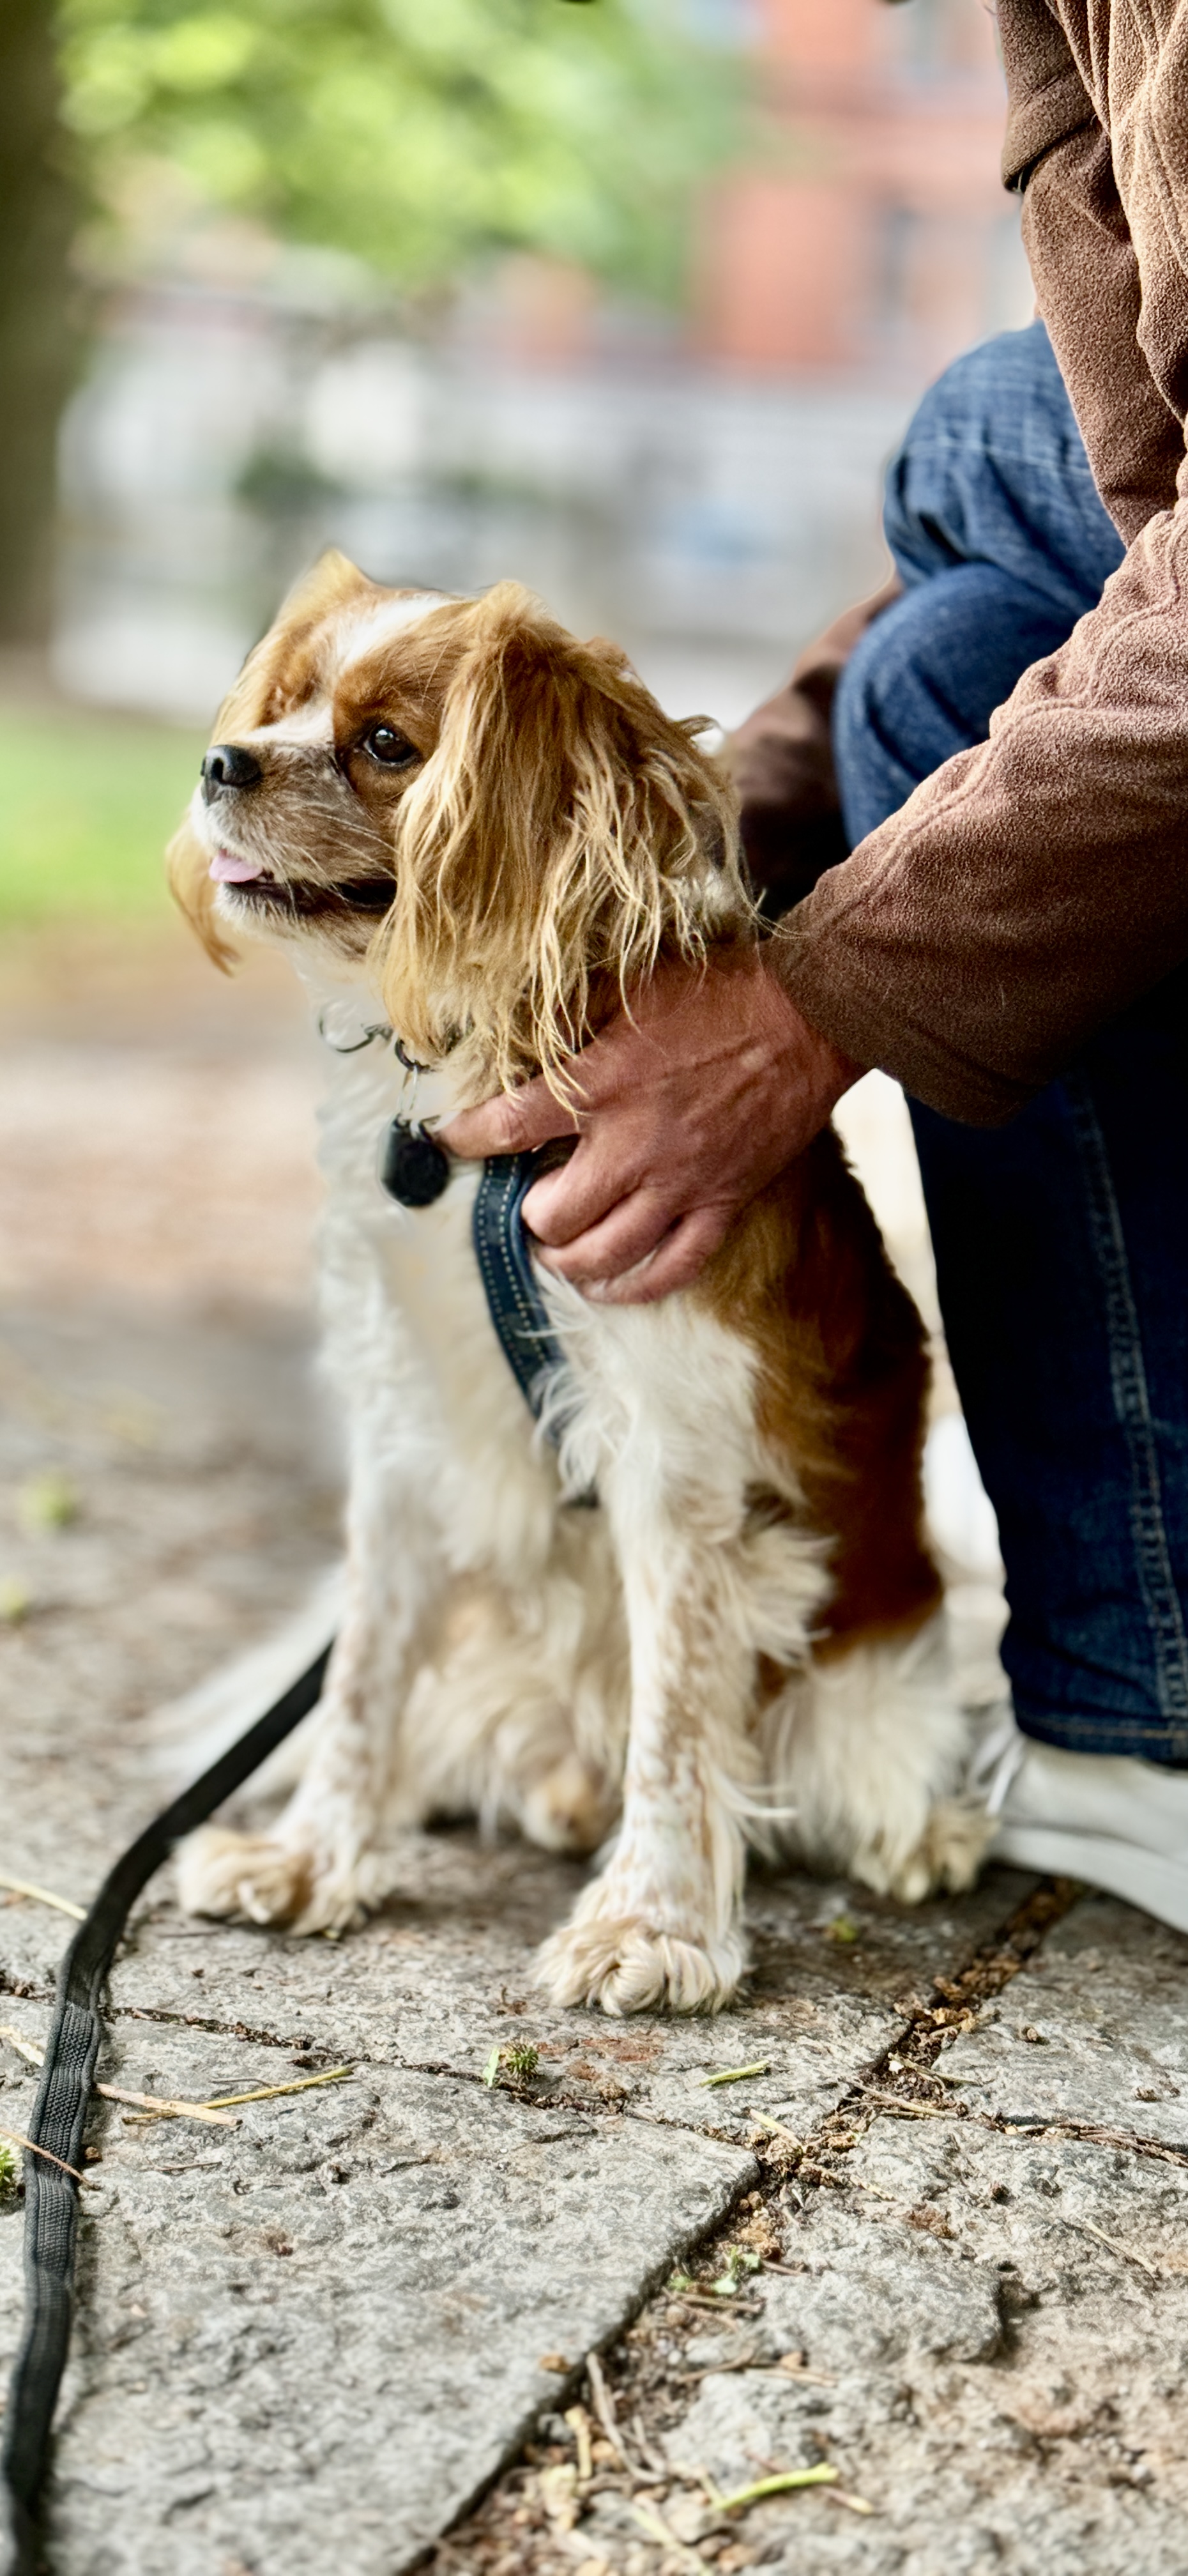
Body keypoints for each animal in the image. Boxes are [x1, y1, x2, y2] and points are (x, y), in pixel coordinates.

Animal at [167, 551, 985, 2015]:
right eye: (284, 704)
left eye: (386, 745)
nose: (220, 760)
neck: (460, 1087)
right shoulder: (403, 1432)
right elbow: (364, 1675)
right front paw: (314, 1857)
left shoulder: (669, 1458)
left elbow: (675, 1717)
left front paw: (652, 1924)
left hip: (872, 1682)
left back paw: (923, 1831)